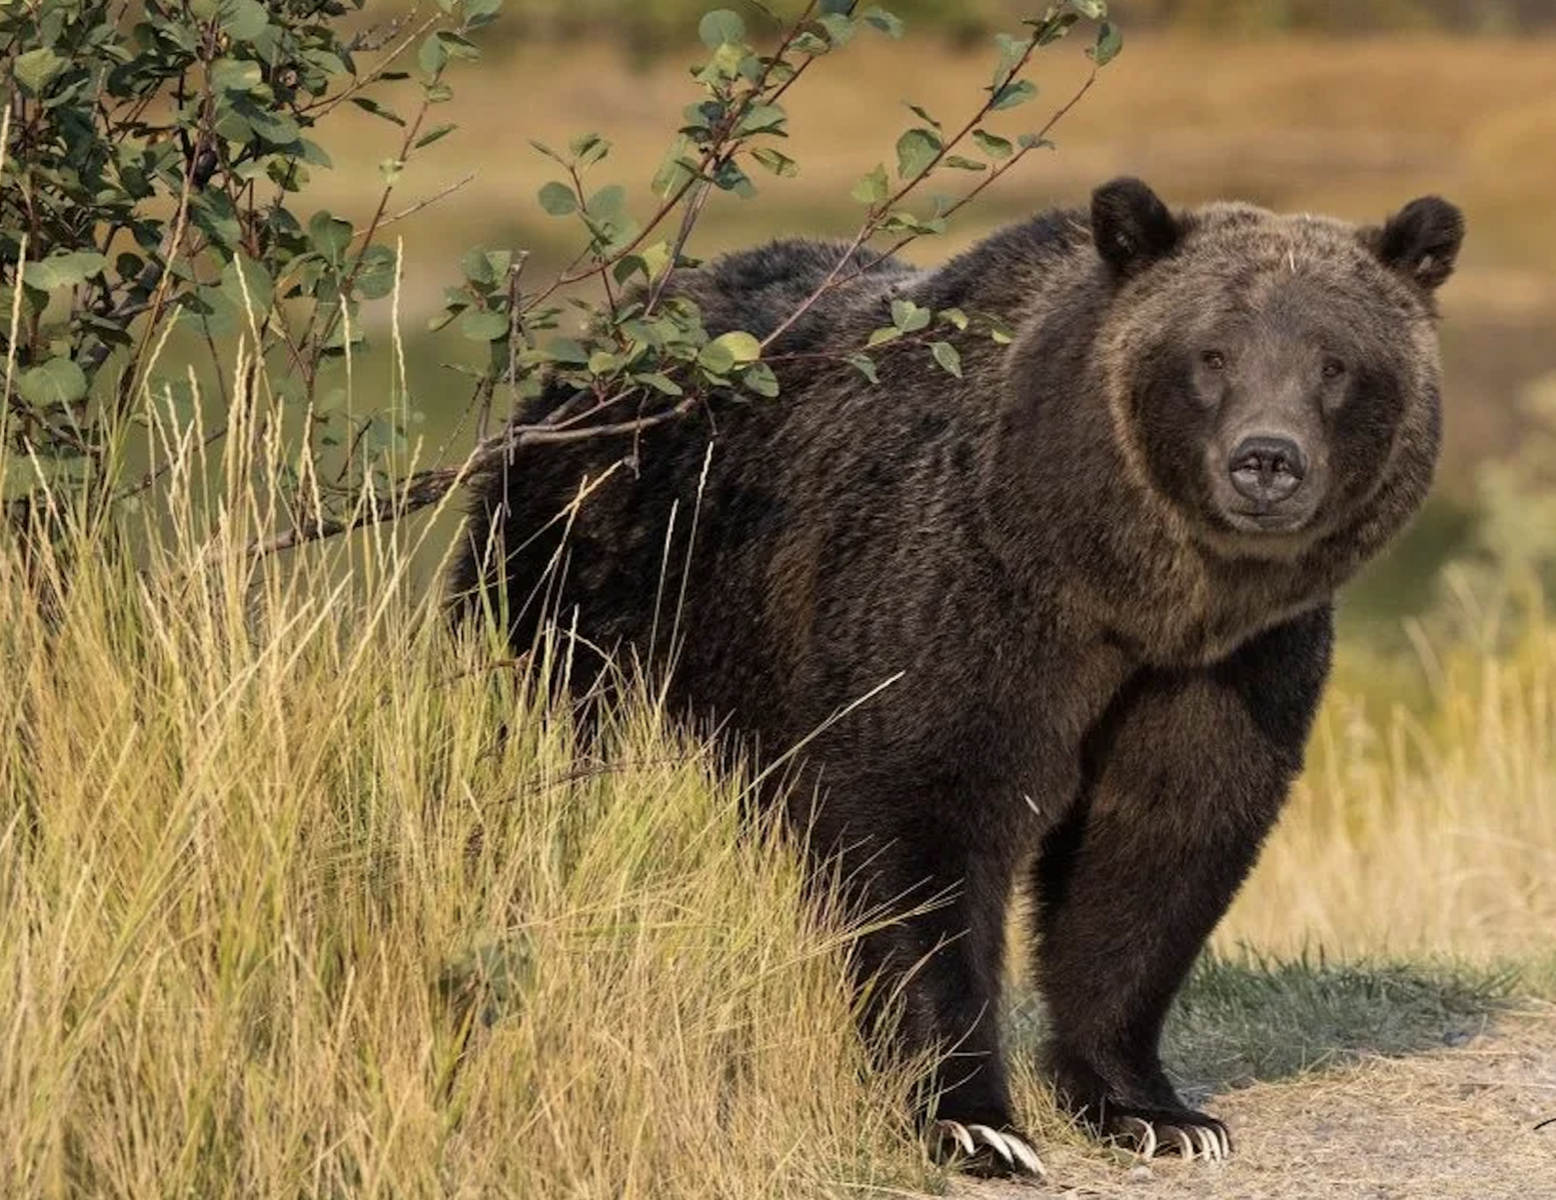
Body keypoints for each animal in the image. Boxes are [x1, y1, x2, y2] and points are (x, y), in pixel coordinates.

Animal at [451, 175, 1456, 1170]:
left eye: (1335, 363)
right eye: (1212, 354)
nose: (1266, 461)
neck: (1128, 588)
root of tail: (592, 351)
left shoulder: (1231, 667)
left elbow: (1158, 845)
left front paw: (1155, 1111)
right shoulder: (961, 595)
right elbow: (921, 823)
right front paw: (973, 1120)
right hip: (587, 578)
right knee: (547, 751)